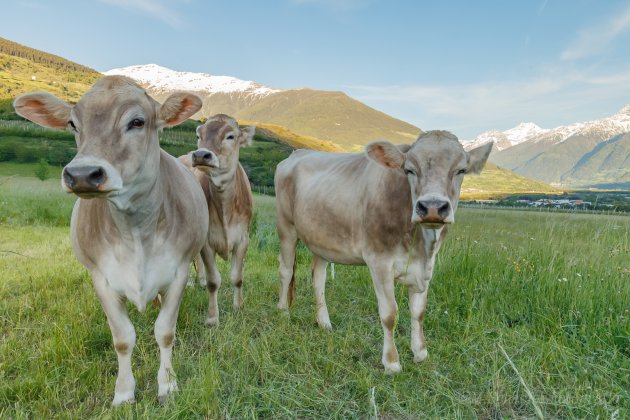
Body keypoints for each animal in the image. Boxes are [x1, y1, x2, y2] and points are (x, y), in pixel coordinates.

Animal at [12, 77, 210, 406]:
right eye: (73, 124)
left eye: (137, 122)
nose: (82, 174)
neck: (136, 229)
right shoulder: (101, 278)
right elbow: (122, 338)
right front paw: (124, 392)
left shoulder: (179, 271)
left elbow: (165, 332)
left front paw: (167, 385)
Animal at [180, 115, 254, 328]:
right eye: (199, 135)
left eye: (230, 136)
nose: (200, 155)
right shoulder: (207, 241)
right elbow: (214, 281)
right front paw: (213, 318)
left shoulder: (243, 238)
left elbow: (237, 277)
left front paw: (239, 308)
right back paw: (191, 283)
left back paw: (200, 280)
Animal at [276, 131, 494, 374]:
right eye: (410, 170)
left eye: (461, 170)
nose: (432, 207)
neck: (419, 244)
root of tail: (297, 153)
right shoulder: (379, 261)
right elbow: (390, 313)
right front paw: (391, 363)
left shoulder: (426, 266)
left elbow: (419, 311)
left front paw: (420, 353)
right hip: (286, 227)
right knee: (285, 270)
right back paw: (283, 313)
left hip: (321, 240)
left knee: (318, 278)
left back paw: (324, 323)